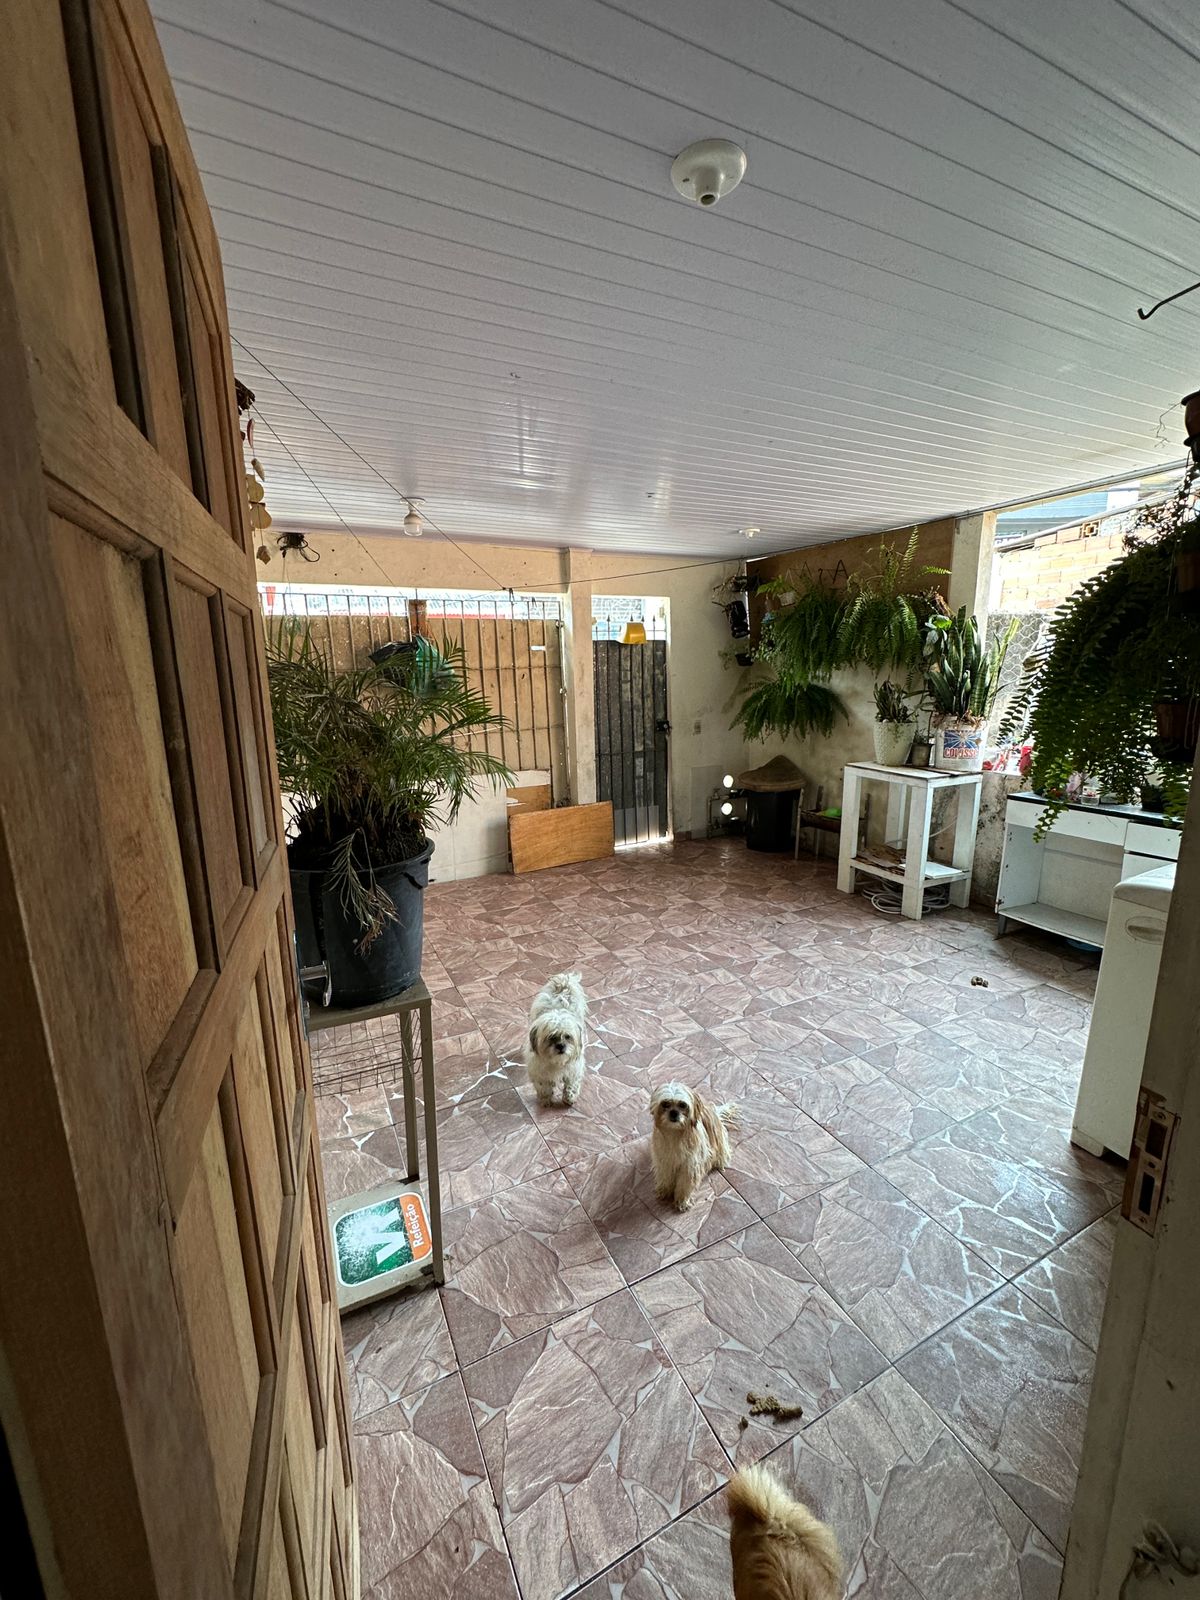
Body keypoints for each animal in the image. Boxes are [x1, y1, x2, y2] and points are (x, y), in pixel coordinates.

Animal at [525, 972, 588, 1107]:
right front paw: (546, 1098)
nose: (561, 1046)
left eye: (567, 1036)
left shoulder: (574, 1068)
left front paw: (569, 1097)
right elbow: (543, 1086)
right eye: (551, 1037)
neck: (556, 1062)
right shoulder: (538, 1071)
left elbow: (572, 1084)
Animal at [649, 1081, 736, 1211]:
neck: (676, 1133)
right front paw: (664, 1190)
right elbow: (665, 1175)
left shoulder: (690, 1165)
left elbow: (685, 1183)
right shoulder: (664, 1160)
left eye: (682, 1105)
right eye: (665, 1104)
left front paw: (682, 1200)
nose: (673, 1113)